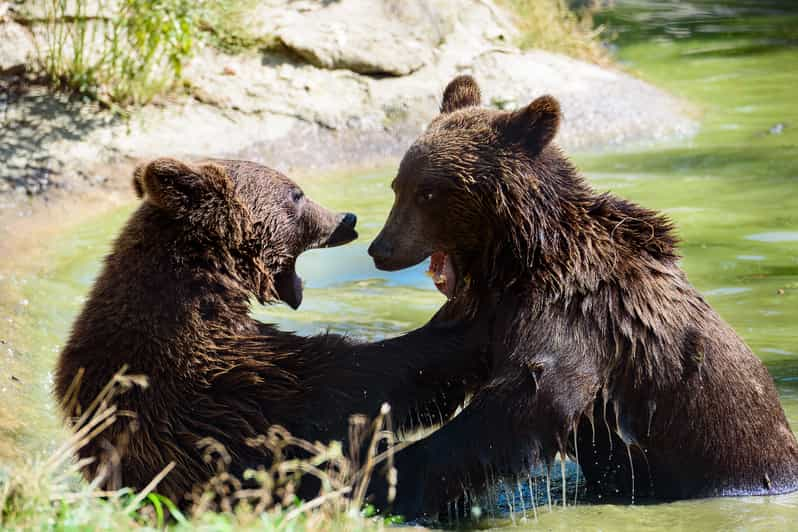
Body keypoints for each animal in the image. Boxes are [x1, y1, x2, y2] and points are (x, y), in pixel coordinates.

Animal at [368, 76, 798, 520]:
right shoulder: (493, 308)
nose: (380, 249)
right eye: (398, 186)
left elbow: (528, 396)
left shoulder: (577, 312)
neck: (520, 254)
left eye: (428, 193)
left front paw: (390, 481)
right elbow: (429, 360)